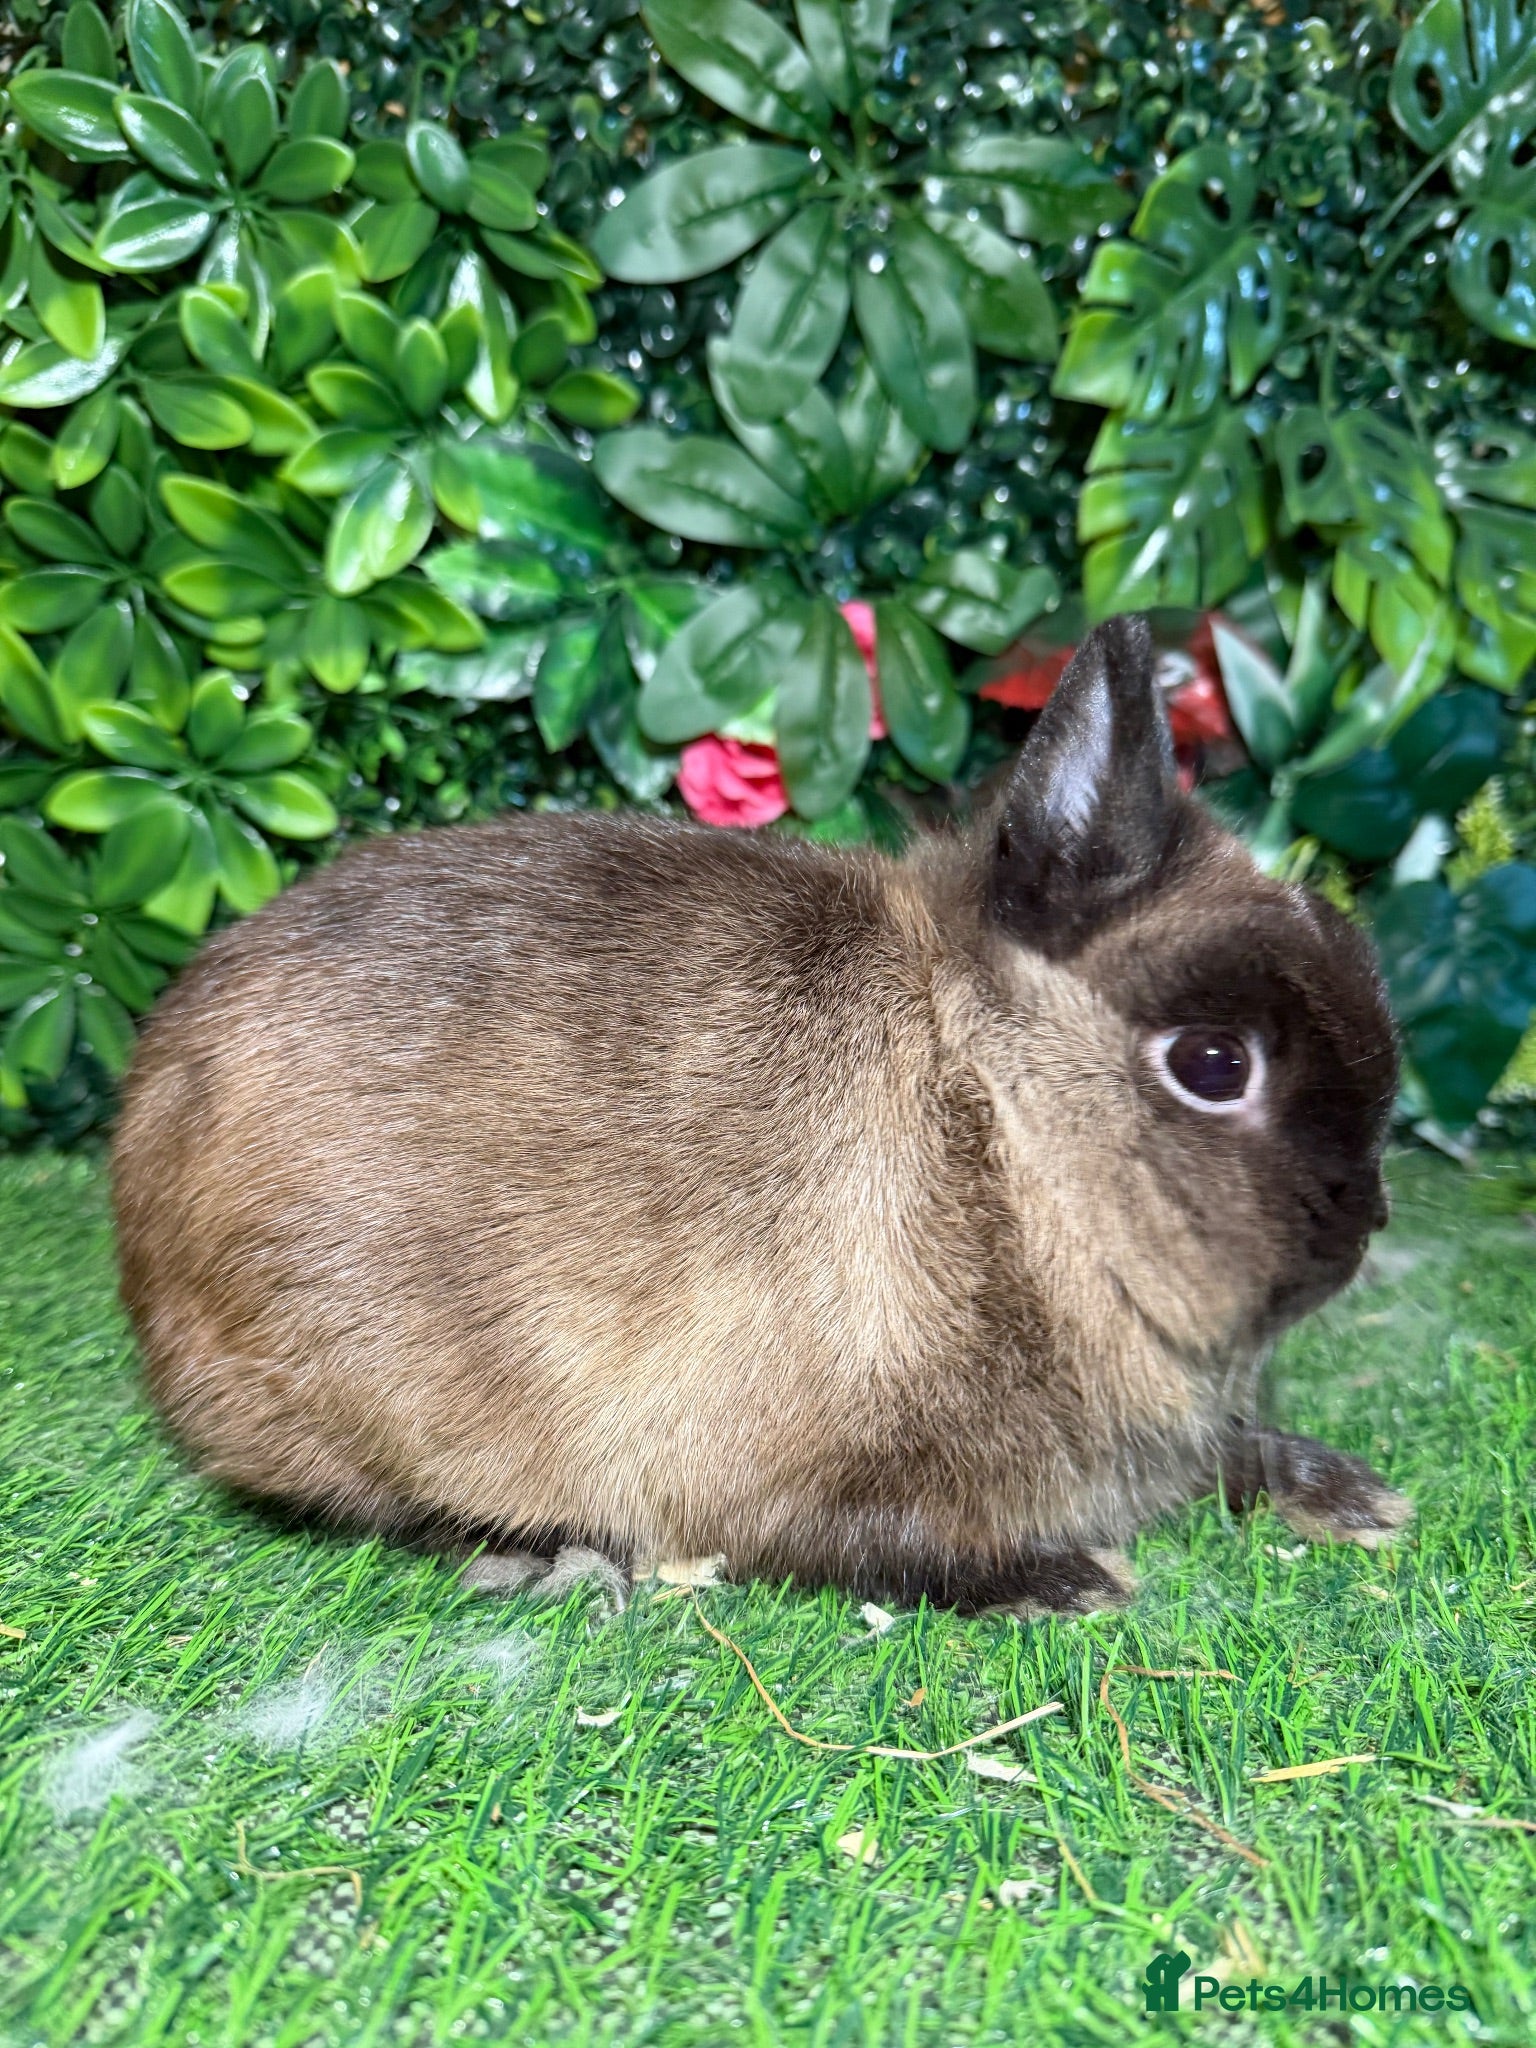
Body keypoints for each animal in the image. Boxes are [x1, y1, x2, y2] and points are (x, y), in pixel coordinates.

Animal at [113, 613, 1410, 1616]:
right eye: (1211, 1062)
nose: (1359, 1233)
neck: (999, 1132)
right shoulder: (801, 1464)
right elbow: (863, 1543)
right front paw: (1060, 1580)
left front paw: (1352, 1493)